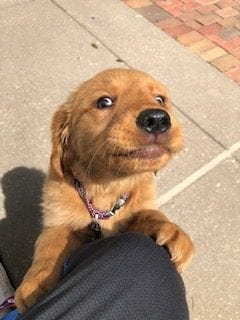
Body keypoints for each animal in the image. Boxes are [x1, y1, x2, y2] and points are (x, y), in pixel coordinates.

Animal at [15, 68, 194, 312]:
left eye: (160, 100)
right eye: (104, 102)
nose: (158, 119)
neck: (107, 187)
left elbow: (149, 213)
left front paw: (172, 230)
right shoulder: (58, 219)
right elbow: (51, 241)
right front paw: (37, 283)